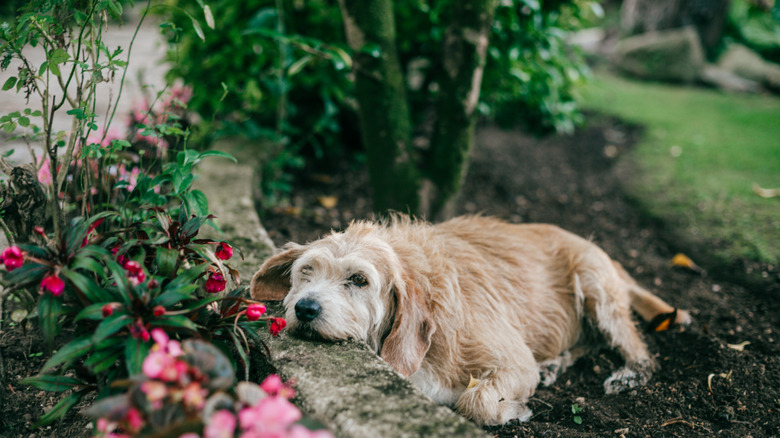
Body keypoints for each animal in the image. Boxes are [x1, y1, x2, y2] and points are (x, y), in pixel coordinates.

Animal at [248, 216, 688, 424]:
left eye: (359, 280)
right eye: (306, 271)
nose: (305, 309)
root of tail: (600, 249)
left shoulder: (514, 361)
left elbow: (475, 400)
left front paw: (514, 411)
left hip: (595, 285)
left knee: (638, 350)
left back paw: (629, 373)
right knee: (587, 343)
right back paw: (554, 364)